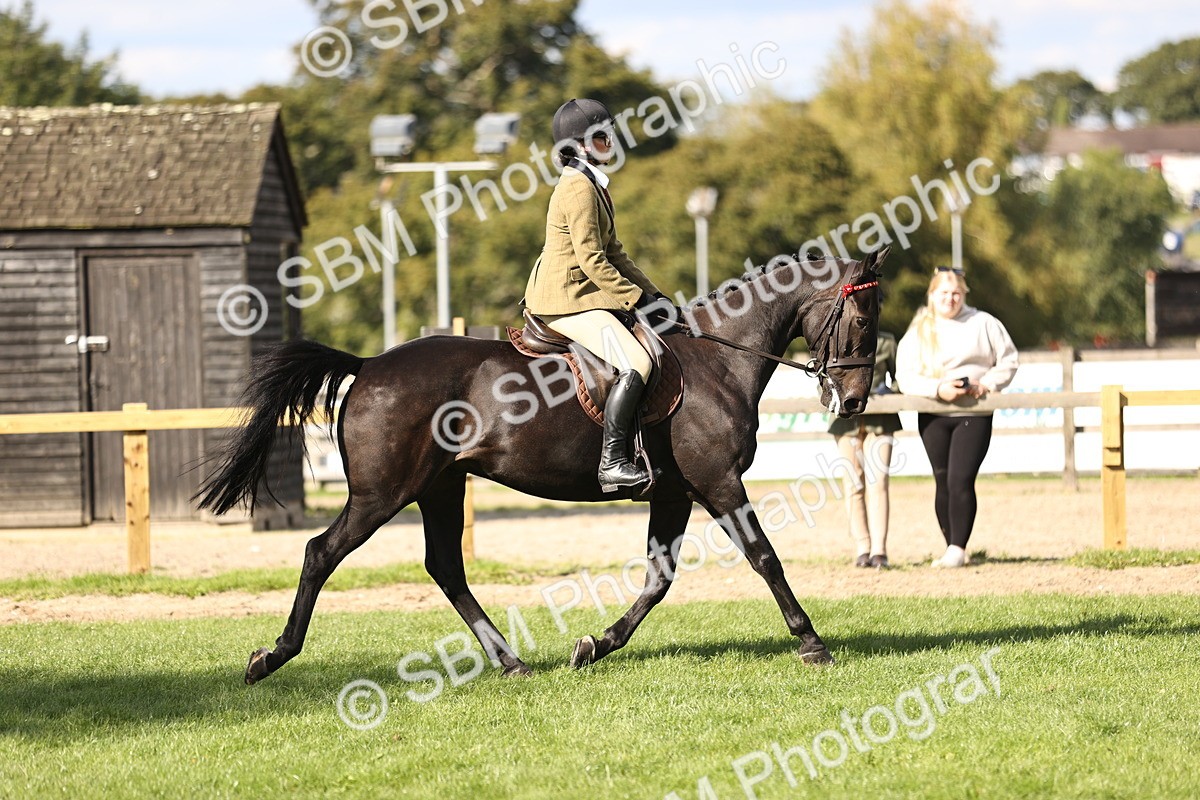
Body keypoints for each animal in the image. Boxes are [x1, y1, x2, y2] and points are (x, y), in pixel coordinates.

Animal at [196, 247, 889, 684]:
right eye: (863, 316)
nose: (855, 401)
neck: (718, 360)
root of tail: (368, 366)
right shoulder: (719, 483)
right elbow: (764, 557)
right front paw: (812, 643)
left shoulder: (675, 493)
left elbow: (658, 579)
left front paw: (596, 645)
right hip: (381, 495)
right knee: (322, 552)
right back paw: (273, 657)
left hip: (441, 487)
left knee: (445, 567)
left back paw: (511, 662)